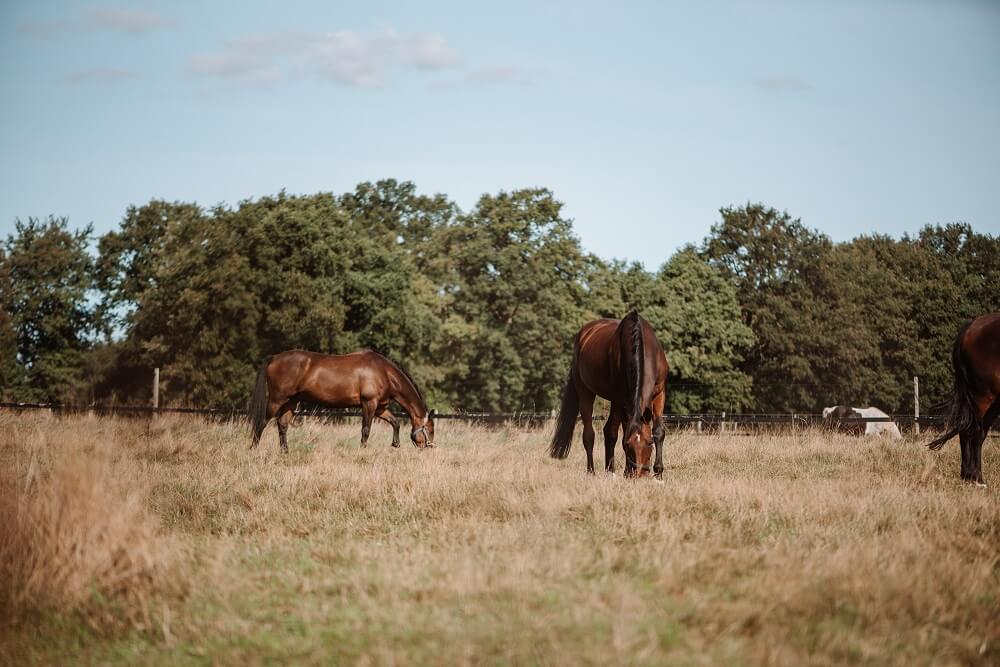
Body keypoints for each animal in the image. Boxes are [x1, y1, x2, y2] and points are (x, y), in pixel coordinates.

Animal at [247, 350, 434, 454]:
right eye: (430, 430)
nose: (429, 447)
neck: (384, 372)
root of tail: (274, 358)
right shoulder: (369, 404)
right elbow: (366, 430)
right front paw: (362, 452)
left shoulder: (380, 407)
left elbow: (395, 422)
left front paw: (395, 444)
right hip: (276, 400)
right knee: (261, 423)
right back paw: (253, 449)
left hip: (291, 402)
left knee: (282, 424)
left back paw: (285, 452)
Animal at [552, 310, 668, 478]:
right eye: (628, 445)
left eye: (649, 442)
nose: (639, 474)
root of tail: (585, 333)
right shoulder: (621, 399)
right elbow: (617, 433)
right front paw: (620, 471)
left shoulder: (659, 393)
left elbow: (658, 431)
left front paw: (658, 473)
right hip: (586, 391)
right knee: (591, 434)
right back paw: (593, 471)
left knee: (614, 429)